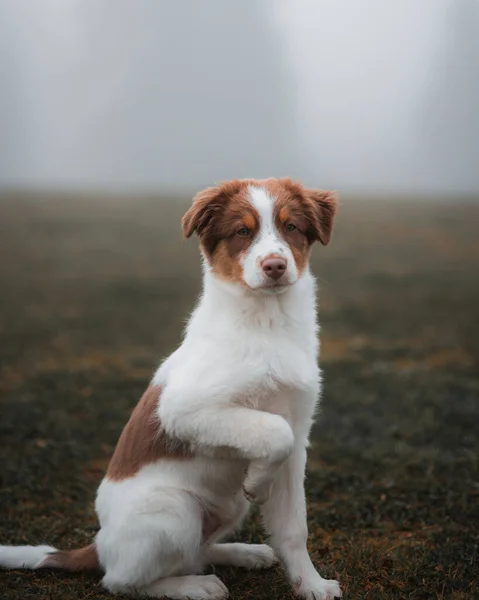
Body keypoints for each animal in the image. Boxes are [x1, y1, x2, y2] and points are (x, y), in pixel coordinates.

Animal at [0, 178, 344, 600]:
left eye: (291, 226)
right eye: (242, 232)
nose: (275, 267)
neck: (266, 324)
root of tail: (98, 546)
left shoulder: (298, 435)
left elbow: (294, 526)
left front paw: (311, 584)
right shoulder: (184, 410)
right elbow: (272, 432)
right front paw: (256, 481)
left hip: (226, 507)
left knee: (197, 551)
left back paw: (243, 553)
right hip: (173, 509)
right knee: (121, 580)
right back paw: (194, 586)